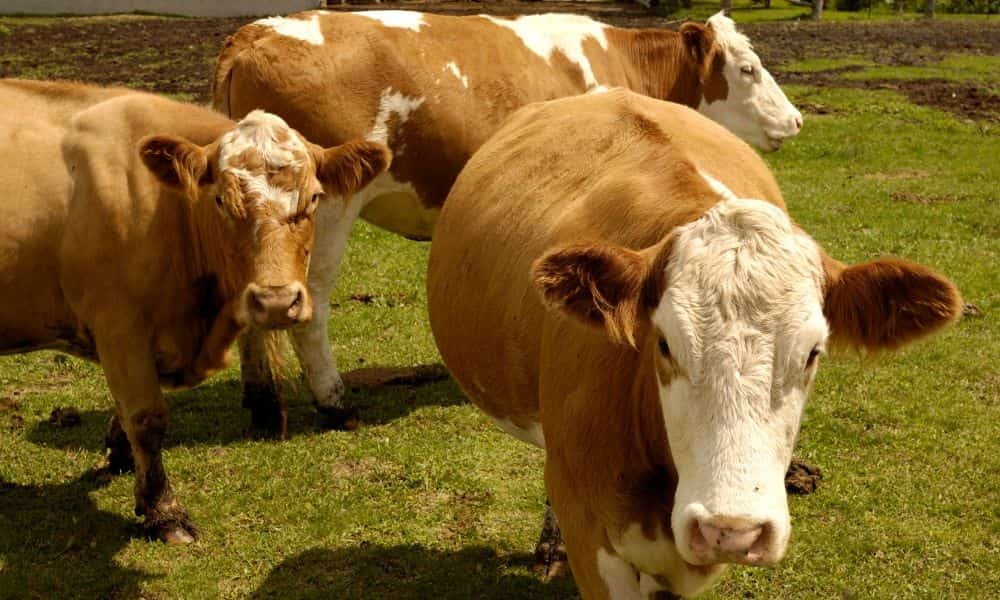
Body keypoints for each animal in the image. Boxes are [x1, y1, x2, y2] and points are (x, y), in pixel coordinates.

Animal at [0, 79, 389, 543]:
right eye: (219, 199)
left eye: (314, 197)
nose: (277, 300)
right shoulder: (119, 326)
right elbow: (147, 419)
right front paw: (164, 512)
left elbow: (127, 411)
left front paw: (122, 456)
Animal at [212, 9, 803, 433]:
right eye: (747, 70)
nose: (797, 120)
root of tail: (255, 31)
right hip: (326, 204)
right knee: (310, 301)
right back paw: (333, 400)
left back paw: (260, 403)